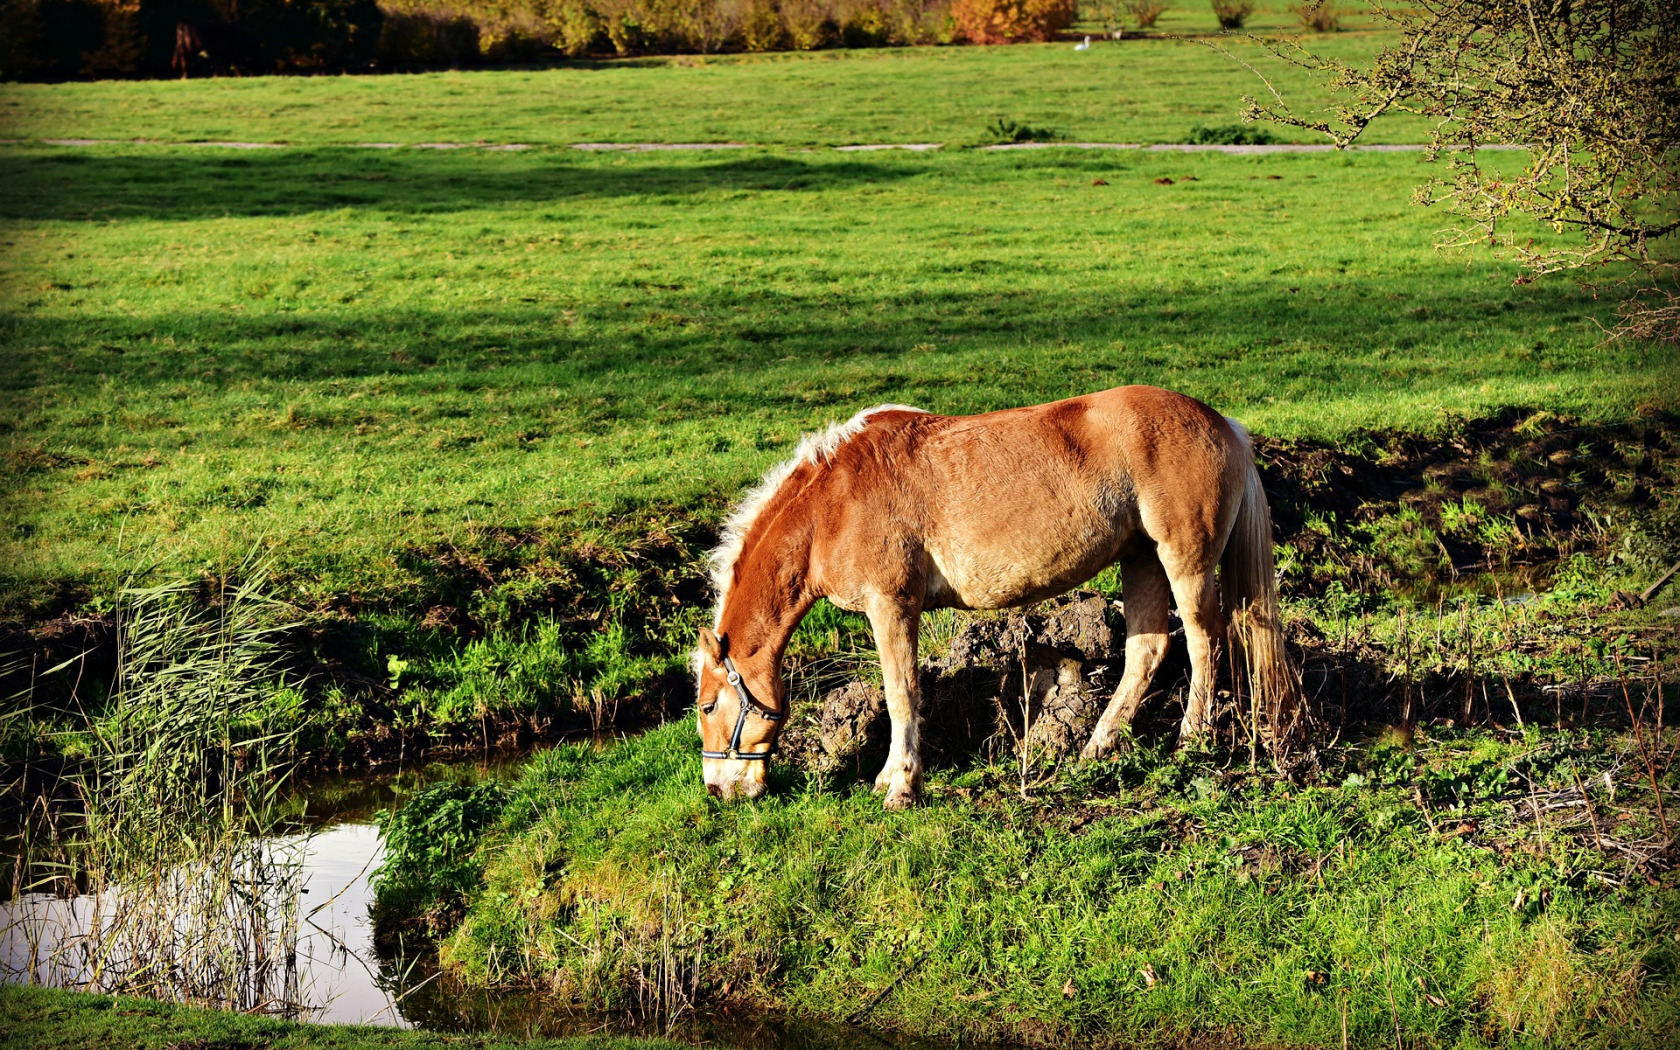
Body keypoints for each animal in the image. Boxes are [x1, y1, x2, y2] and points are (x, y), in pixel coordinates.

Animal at [692, 384, 1296, 803]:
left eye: (706, 705)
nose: (719, 789)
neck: (832, 504)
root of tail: (1223, 425)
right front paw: (889, 779)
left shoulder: (892, 606)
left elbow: (901, 694)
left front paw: (901, 786)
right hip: (1141, 558)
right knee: (1148, 649)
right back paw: (1096, 747)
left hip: (1182, 560)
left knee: (1203, 640)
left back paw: (1192, 738)